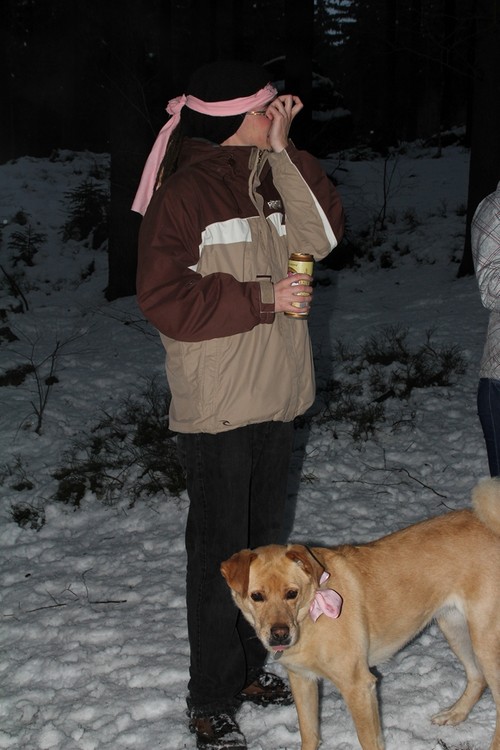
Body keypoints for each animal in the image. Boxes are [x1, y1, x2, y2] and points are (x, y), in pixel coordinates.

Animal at [221, 477, 500, 750]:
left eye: (292, 593)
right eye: (257, 596)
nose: (280, 635)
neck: (310, 616)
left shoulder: (358, 687)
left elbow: (369, 741)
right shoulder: (302, 680)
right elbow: (309, 735)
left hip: (485, 642)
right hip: (455, 628)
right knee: (477, 678)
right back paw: (455, 714)